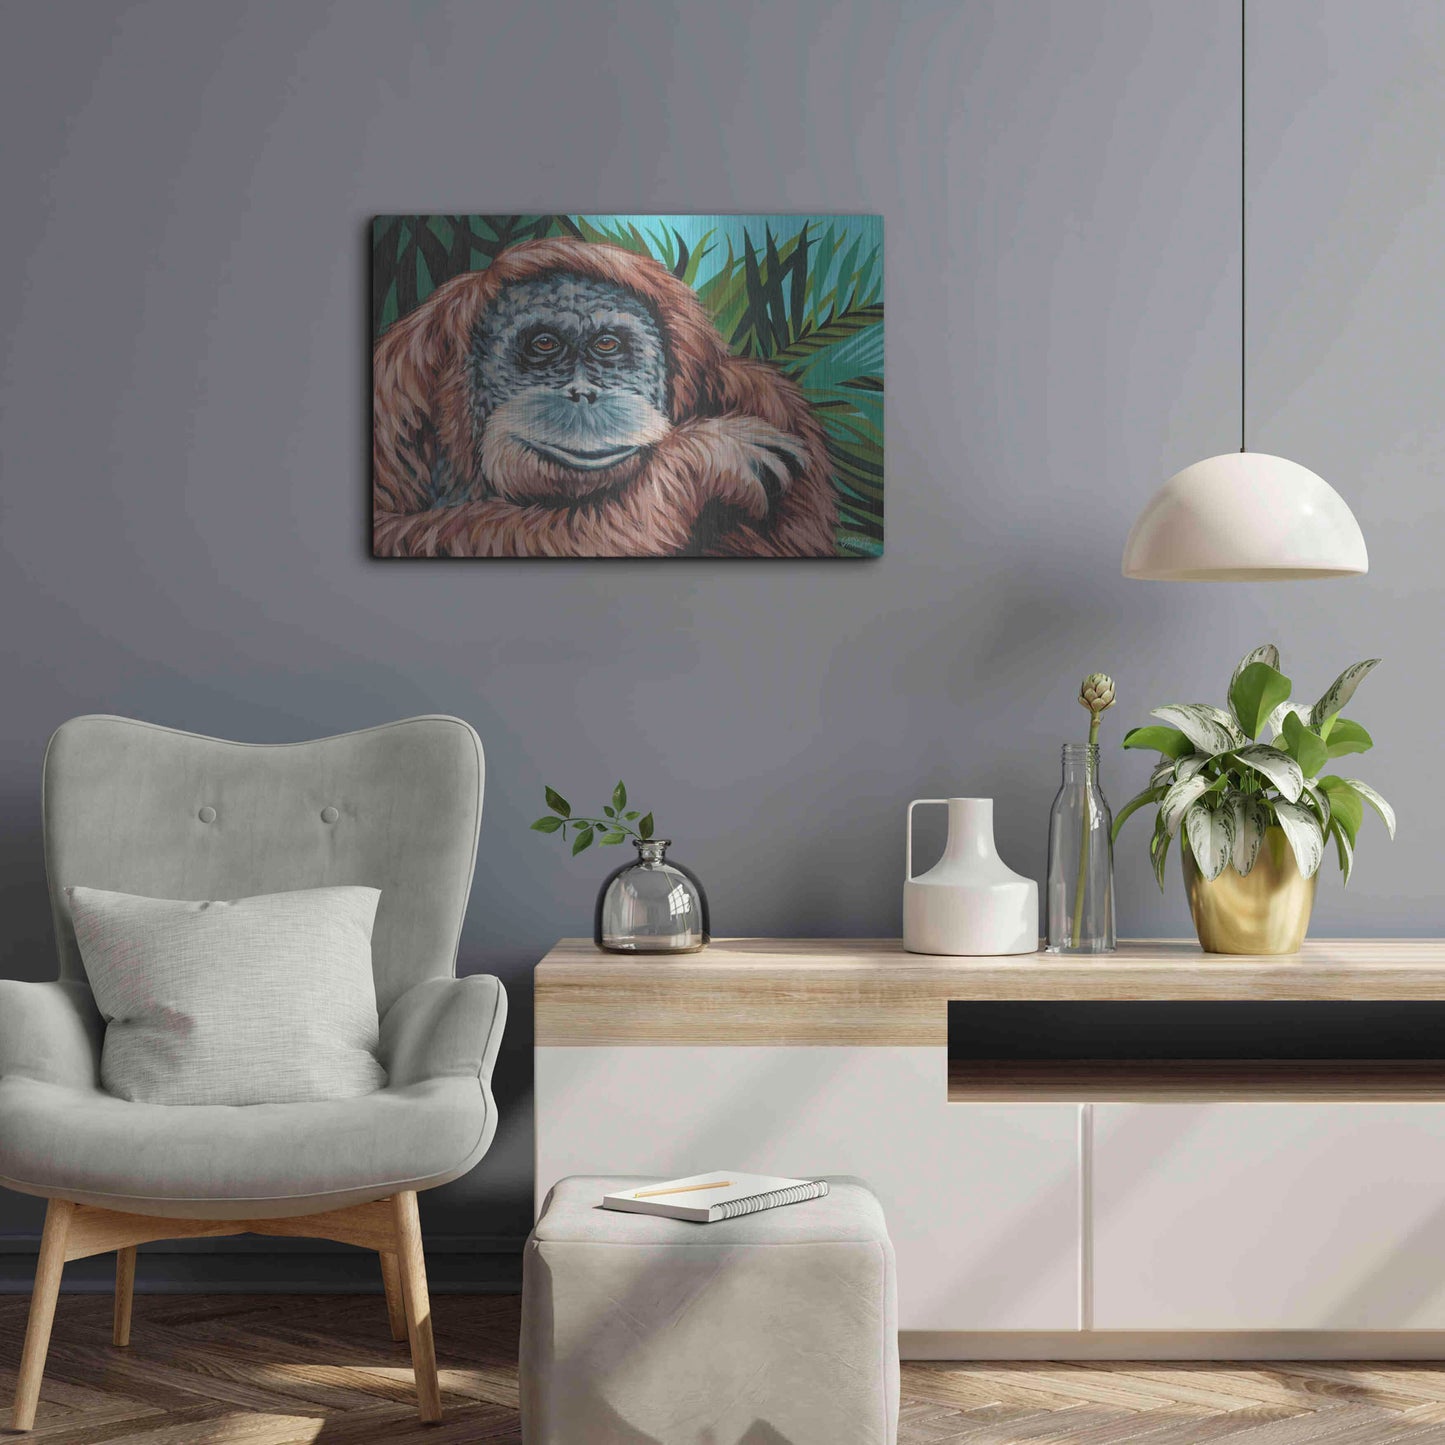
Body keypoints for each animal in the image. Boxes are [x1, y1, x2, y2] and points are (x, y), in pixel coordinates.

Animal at [372, 238, 839, 558]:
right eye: (544, 345)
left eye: (608, 345)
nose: (583, 394)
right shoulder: (393, 393)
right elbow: (392, 531)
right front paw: (702, 457)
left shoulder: (769, 398)